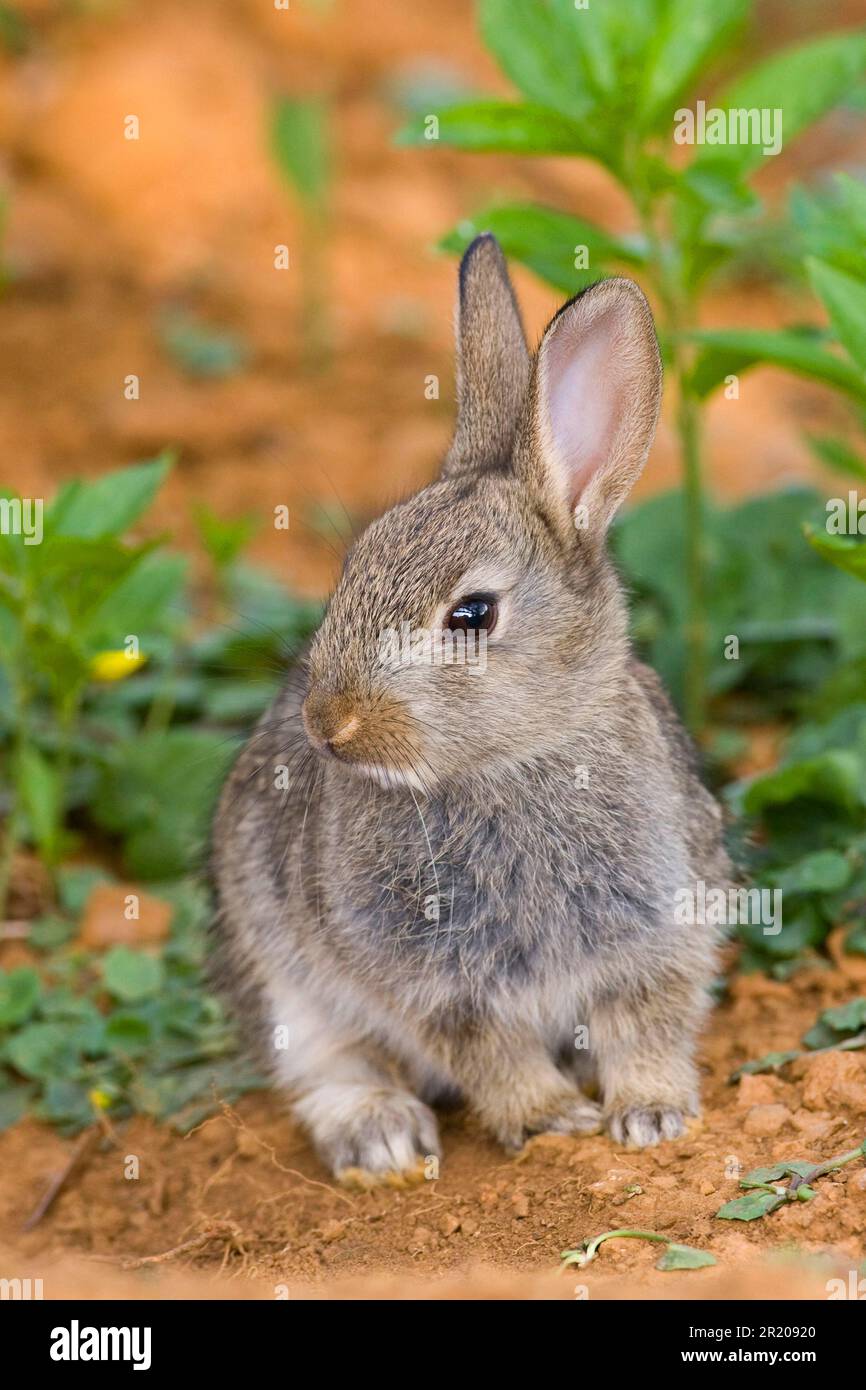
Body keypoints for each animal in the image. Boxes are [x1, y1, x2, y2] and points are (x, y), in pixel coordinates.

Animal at [209, 236, 733, 1184]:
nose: (328, 726)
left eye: (473, 615)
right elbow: (487, 1051)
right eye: (352, 571)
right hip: (282, 971)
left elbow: (645, 1024)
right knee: (325, 1063)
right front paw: (552, 1119)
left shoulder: (659, 930)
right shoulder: (435, 981)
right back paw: (380, 1135)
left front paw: (650, 1114)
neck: (513, 762)